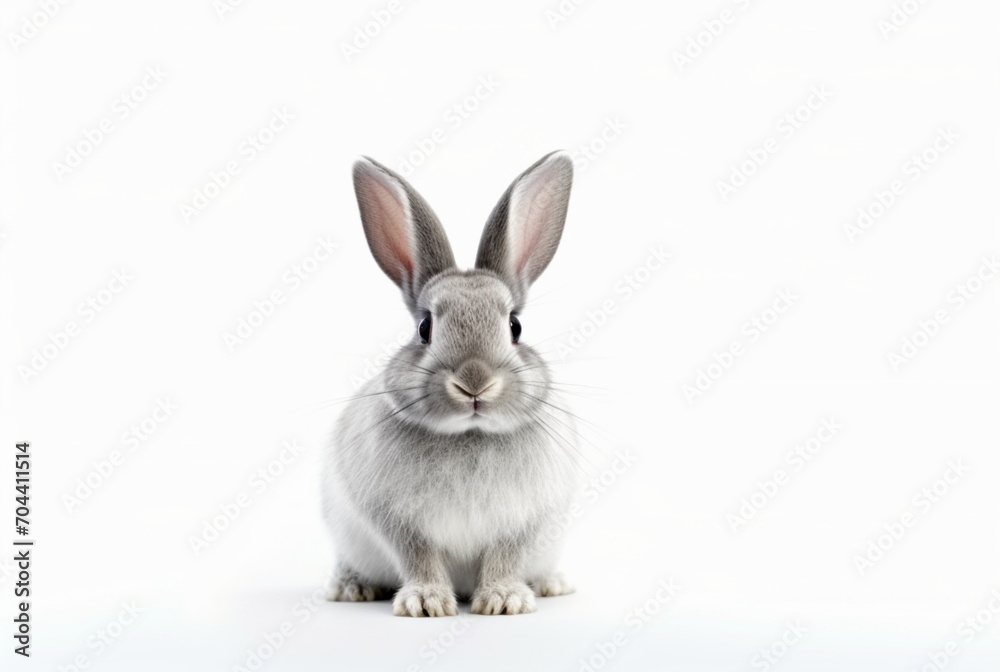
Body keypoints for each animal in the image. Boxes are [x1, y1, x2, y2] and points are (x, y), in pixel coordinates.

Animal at [322, 151, 581, 617]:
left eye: (515, 326)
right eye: (424, 327)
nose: (474, 383)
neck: (469, 435)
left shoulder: (525, 521)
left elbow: (505, 556)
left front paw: (504, 600)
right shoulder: (396, 520)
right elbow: (417, 555)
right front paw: (426, 603)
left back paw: (553, 584)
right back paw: (351, 589)